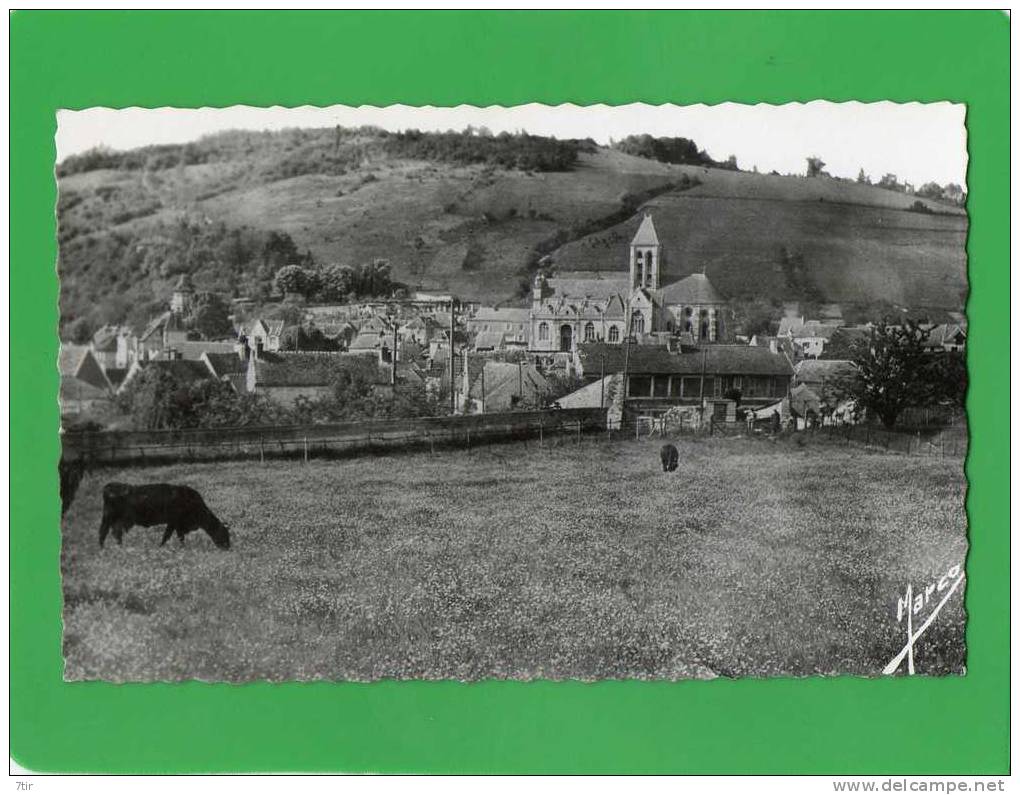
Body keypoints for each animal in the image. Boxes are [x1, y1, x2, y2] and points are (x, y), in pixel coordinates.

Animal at [98, 481, 231, 551]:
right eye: (224, 533)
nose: (228, 547)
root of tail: (110, 486)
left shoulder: (175, 524)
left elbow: (172, 536)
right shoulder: (175, 522)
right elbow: (171, 536)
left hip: (119, 520)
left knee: (116, 533)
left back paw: (120, 547)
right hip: (108, 517)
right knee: (103, 532)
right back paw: (102, 548)